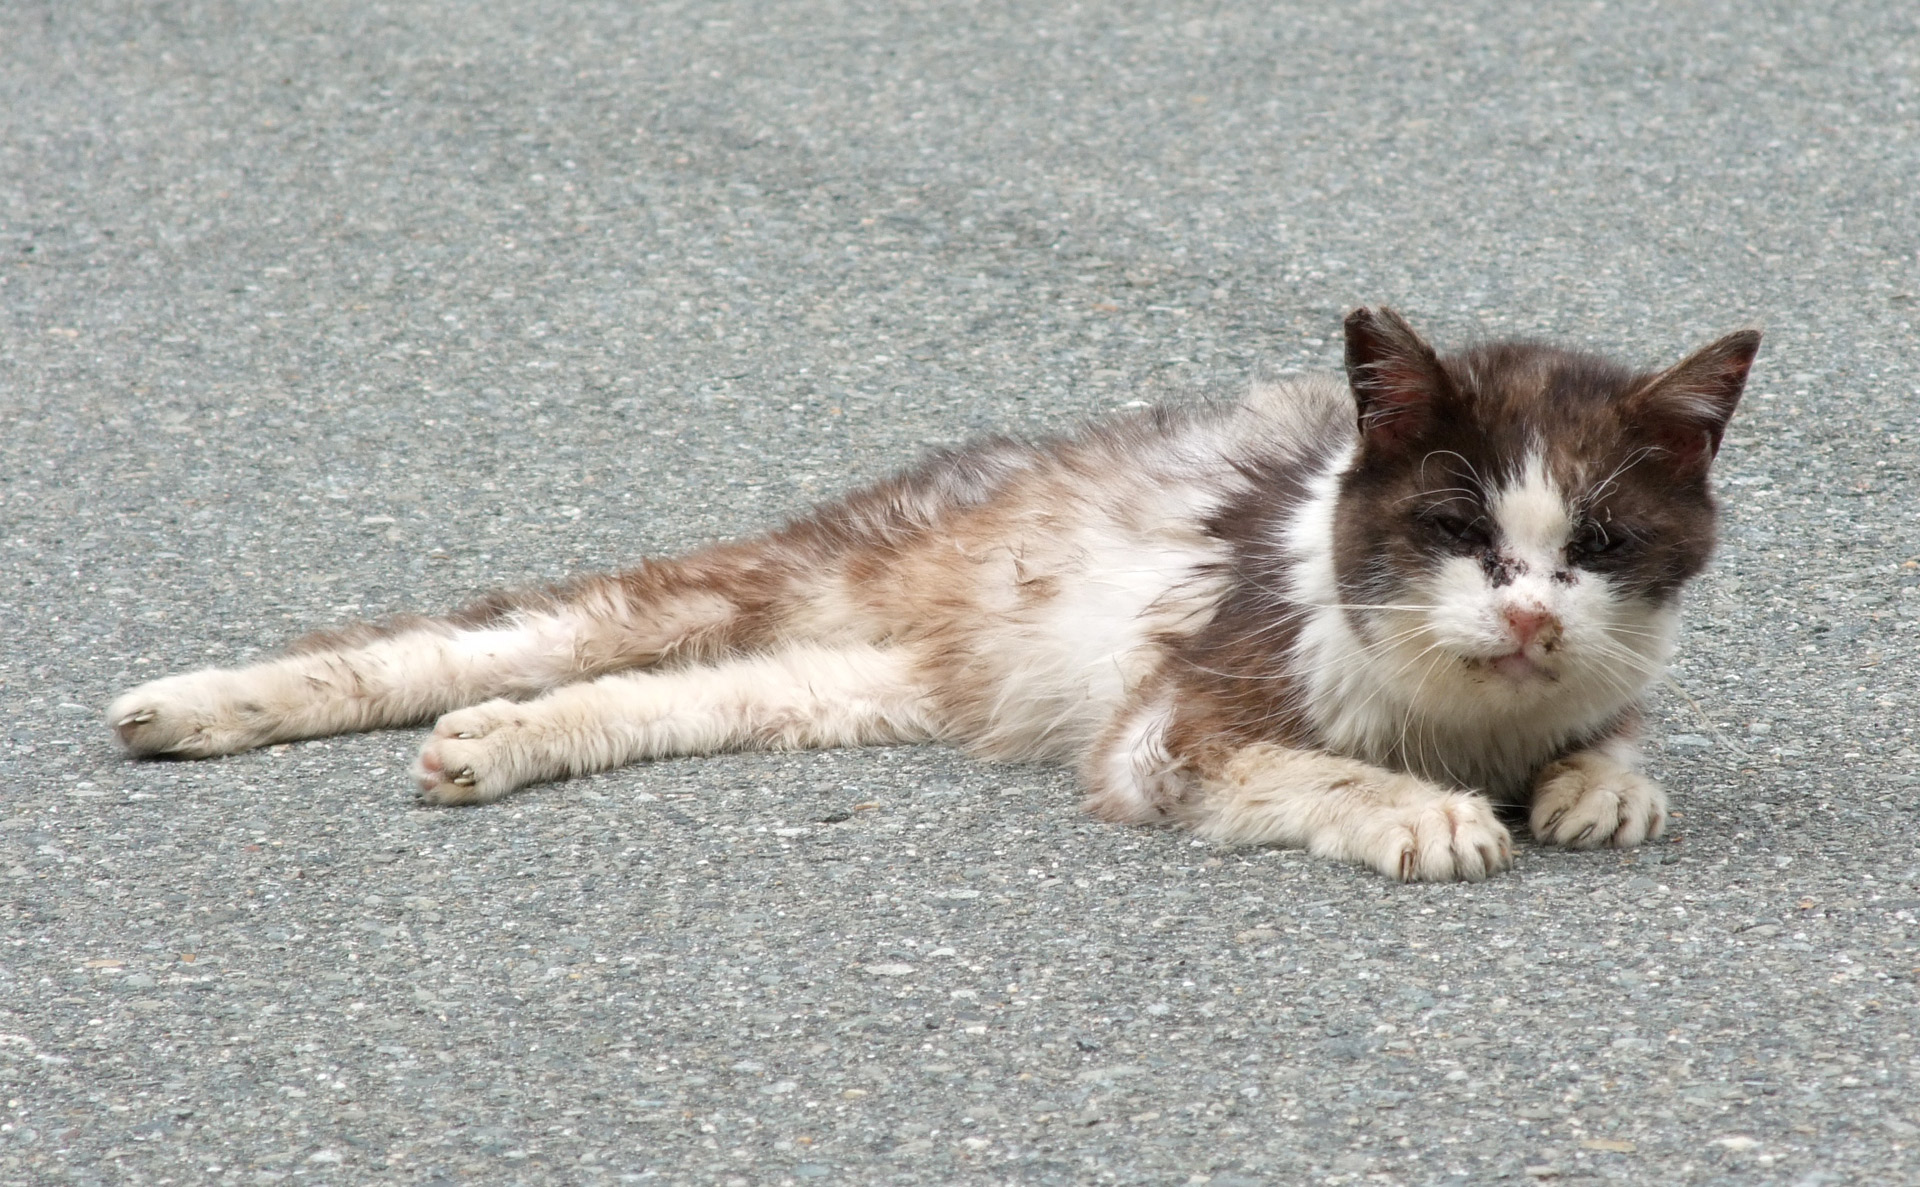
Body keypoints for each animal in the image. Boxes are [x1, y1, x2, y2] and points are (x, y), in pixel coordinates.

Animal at [105, 305, 1758, 879]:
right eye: (1456, 528)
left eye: (1601, 547)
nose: (1532, 617)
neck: (1473, 719)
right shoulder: (1168, 731)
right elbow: (1311, 768)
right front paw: (1422, 811)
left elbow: (1616, 729)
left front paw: (1605, 782)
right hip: (764, 583)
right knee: (467, 642)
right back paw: (185, 706)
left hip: (828, 691)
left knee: (635, 697)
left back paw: (492, 744)